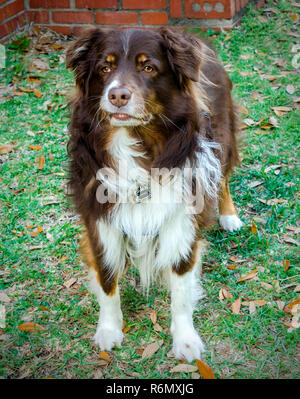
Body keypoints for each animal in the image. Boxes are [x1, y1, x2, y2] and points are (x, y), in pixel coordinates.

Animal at [66, 28, 244, 362]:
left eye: (148, 67)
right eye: (104, 68)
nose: (117, 95)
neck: (137, 143)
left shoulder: (181, 220)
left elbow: (181, 289)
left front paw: (185, 340)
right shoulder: (100, 220)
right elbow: (107, 279)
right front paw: (109, 329)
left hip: (223, 136)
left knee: (223, 177)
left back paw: (229, 216)